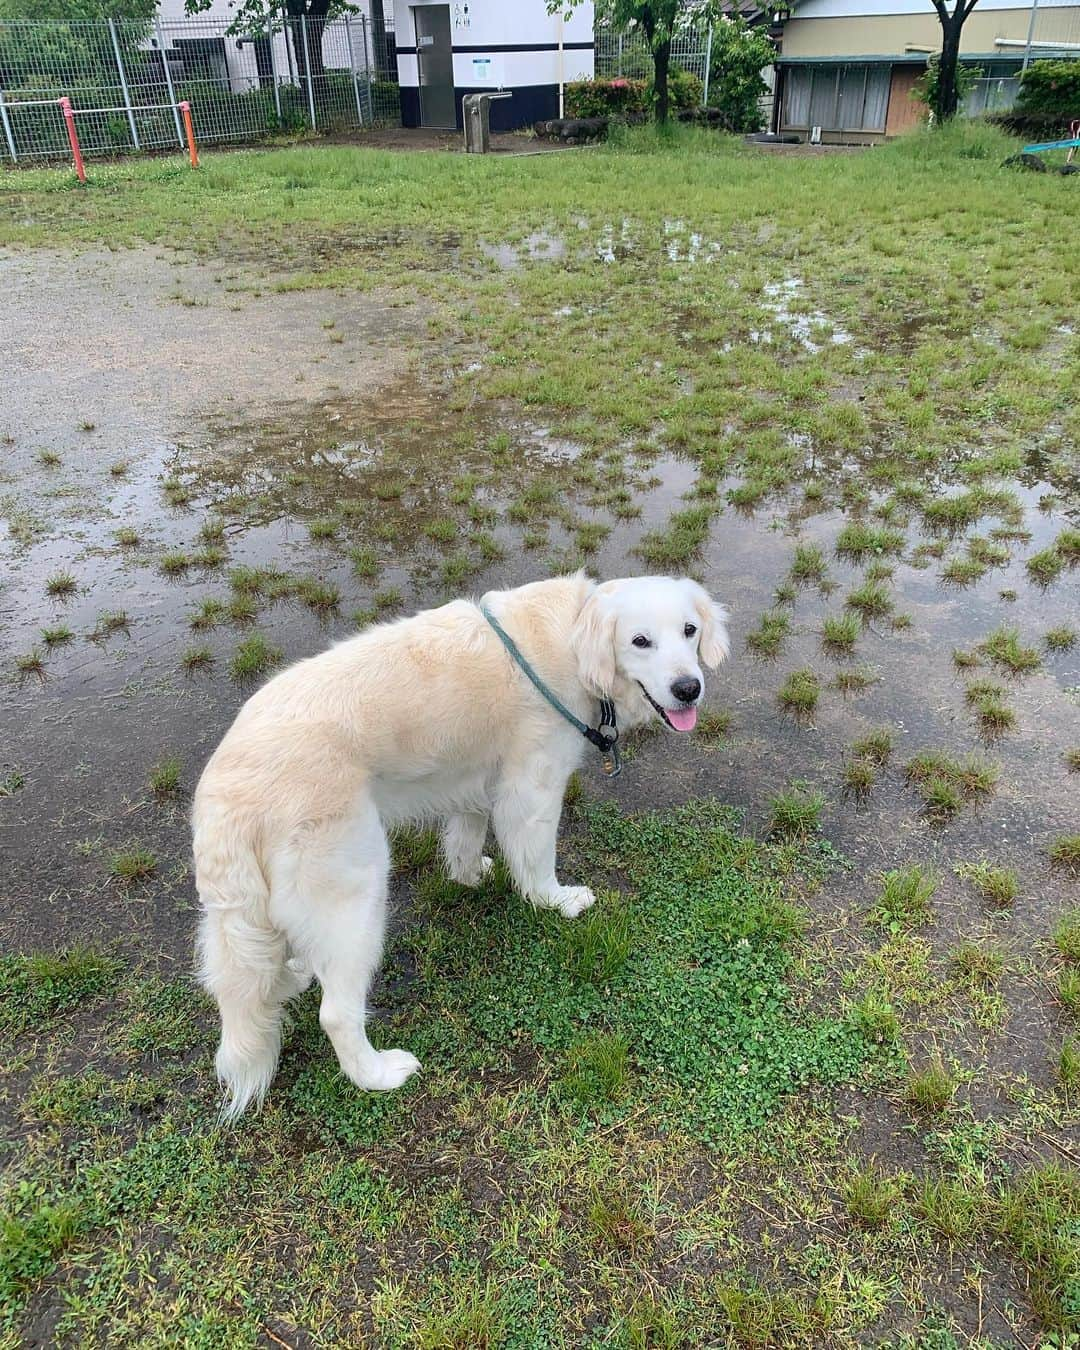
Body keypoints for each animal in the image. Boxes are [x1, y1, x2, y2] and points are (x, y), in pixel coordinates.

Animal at [195, 569, 723, 1117]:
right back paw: (378, 1074)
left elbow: (467, 838)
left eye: (689, 630)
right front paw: (557, 901)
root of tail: (225, 793)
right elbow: (537, 863)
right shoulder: (532, 788)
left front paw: (470, 875)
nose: (689, 688)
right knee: (337, 1014)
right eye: (640, 641)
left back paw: (293, 976)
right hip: (355, 897)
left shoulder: (475, 778)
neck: (574, 642)